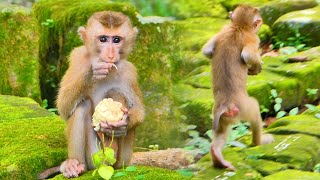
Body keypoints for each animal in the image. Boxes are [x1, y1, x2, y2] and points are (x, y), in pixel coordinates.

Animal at [38, 11, 145, 179]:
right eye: (103, 39)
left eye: (116, 40)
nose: (110, 54)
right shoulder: (77, 58)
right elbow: (63, 107)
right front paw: (93, 71)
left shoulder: (129, 72)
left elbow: (139, 111)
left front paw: (123, 124)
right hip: (93, 158)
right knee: (83, 105)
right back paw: (74, 165)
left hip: (121, 162)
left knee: (115, 92)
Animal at [202, 4, 276, 170]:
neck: (238, 27)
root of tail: (226, 105)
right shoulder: (253, 38)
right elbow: (247, 55)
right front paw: (256, 67)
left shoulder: (222, 30)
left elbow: (207, 51)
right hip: (243, 108)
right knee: (254, 109)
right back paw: (258, 142)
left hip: (221, 115)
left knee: (221, 132)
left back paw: (217, 155)